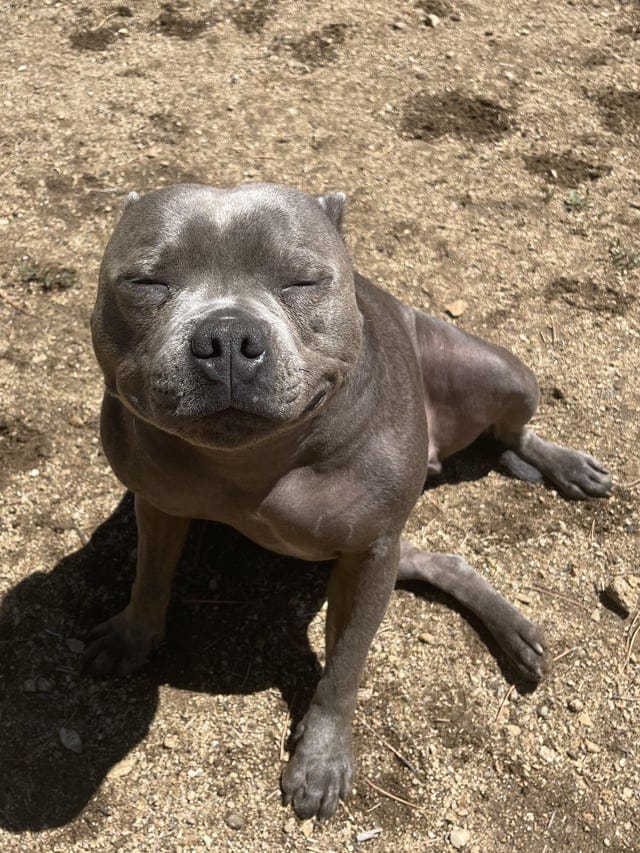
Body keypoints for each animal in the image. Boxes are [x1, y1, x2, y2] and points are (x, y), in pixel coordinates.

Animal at [85, 185, 608, 820]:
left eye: (303, 281)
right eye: (147, 281)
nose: (227, 339)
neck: (255, 464)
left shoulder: (368, 555)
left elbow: (344, 666)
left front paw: (321, 757)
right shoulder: (159, 505)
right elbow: (149, 576)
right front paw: (132, 636)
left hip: (501, 375)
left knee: (516, 433)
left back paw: (564, 467)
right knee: (443, 560)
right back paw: (512, 630)